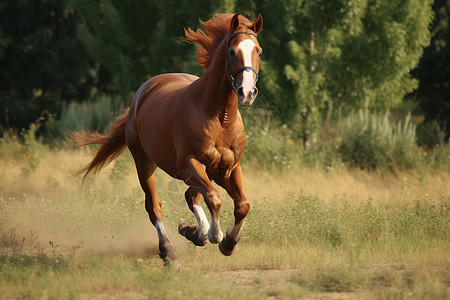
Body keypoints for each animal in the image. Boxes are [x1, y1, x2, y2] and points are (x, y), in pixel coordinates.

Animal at [72, 12, 264, 264]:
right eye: (232, 51)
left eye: (259, 51)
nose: (247, 93)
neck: (218, 118)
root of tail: (143, 92)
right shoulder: (189, 165)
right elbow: (214, 198)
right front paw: (216, 236)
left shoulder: (228, 168)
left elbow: (242, 205)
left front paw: (227, 243)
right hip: (144, 163)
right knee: (155, 206)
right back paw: (169, 251)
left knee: (191, 196)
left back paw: (193, 232)